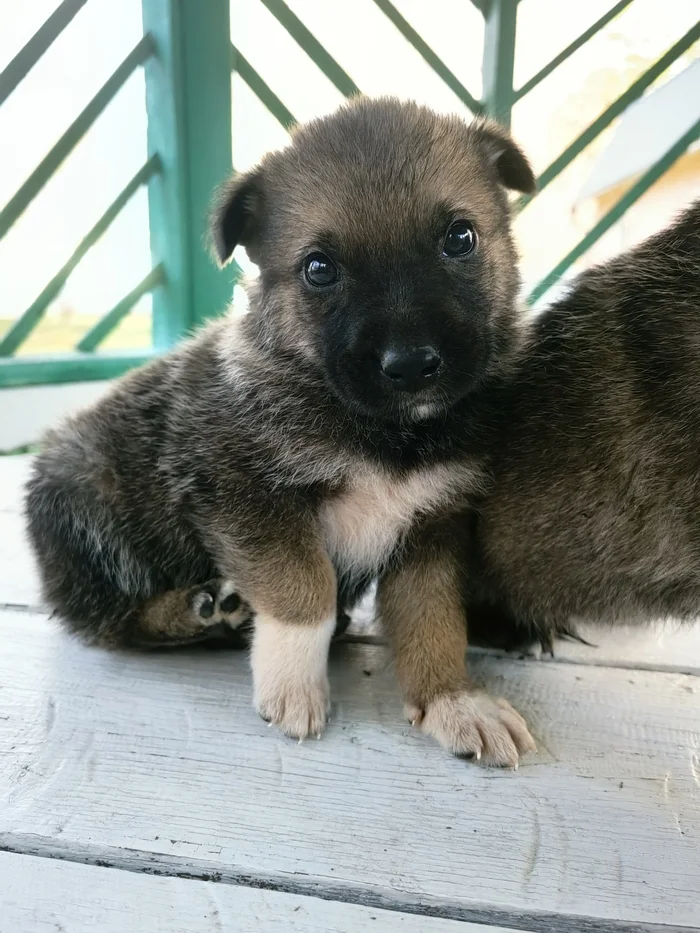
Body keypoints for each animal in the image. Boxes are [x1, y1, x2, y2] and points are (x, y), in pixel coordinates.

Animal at [23, 96, 536, 764]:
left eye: (461, 237)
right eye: (318, 269)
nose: (410, 365)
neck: (386, 435)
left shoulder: (432, 529)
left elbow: (435, 622)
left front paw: (453, 700)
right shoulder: (245, 496)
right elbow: (304, 591)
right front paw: (294, 687)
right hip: (84, 501)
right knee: (107, 620)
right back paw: (198, 610)